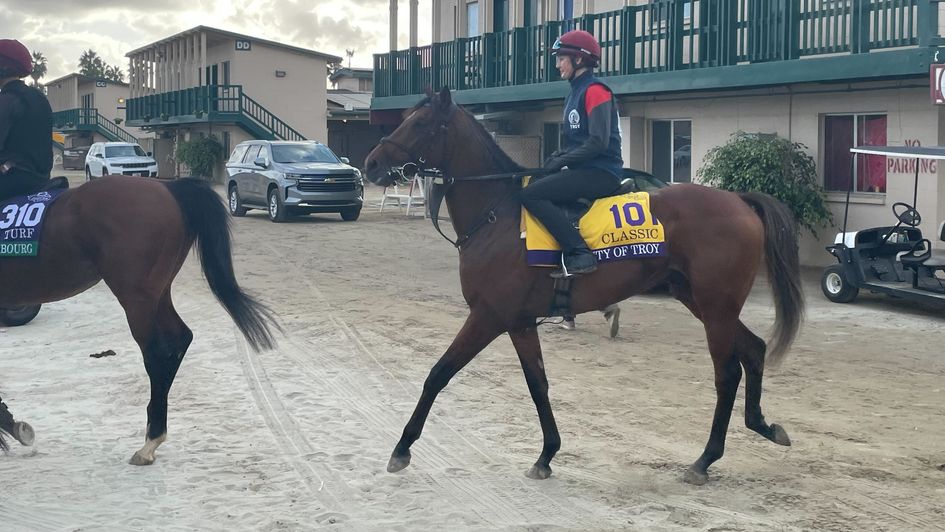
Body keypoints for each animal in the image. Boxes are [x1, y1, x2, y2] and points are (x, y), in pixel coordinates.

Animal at [0, 177, 276, 464]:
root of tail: (169, 187)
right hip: (159, 292)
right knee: (180, 338)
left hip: (137, 297)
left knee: (156, 352)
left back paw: (151, 441)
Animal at [366, 88, 800, 486]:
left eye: (420, 123)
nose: (371, 163)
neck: (497, 213)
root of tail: (738, 201)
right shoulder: (519, 322)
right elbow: (537, 384)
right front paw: (547, 453)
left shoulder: (488, 316)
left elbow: (439, 373)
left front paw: (402, 447)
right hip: (704, 303)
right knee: (753, 350)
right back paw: (762, 425)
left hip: (715, 307)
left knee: (726, 374)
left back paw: (705, 459)